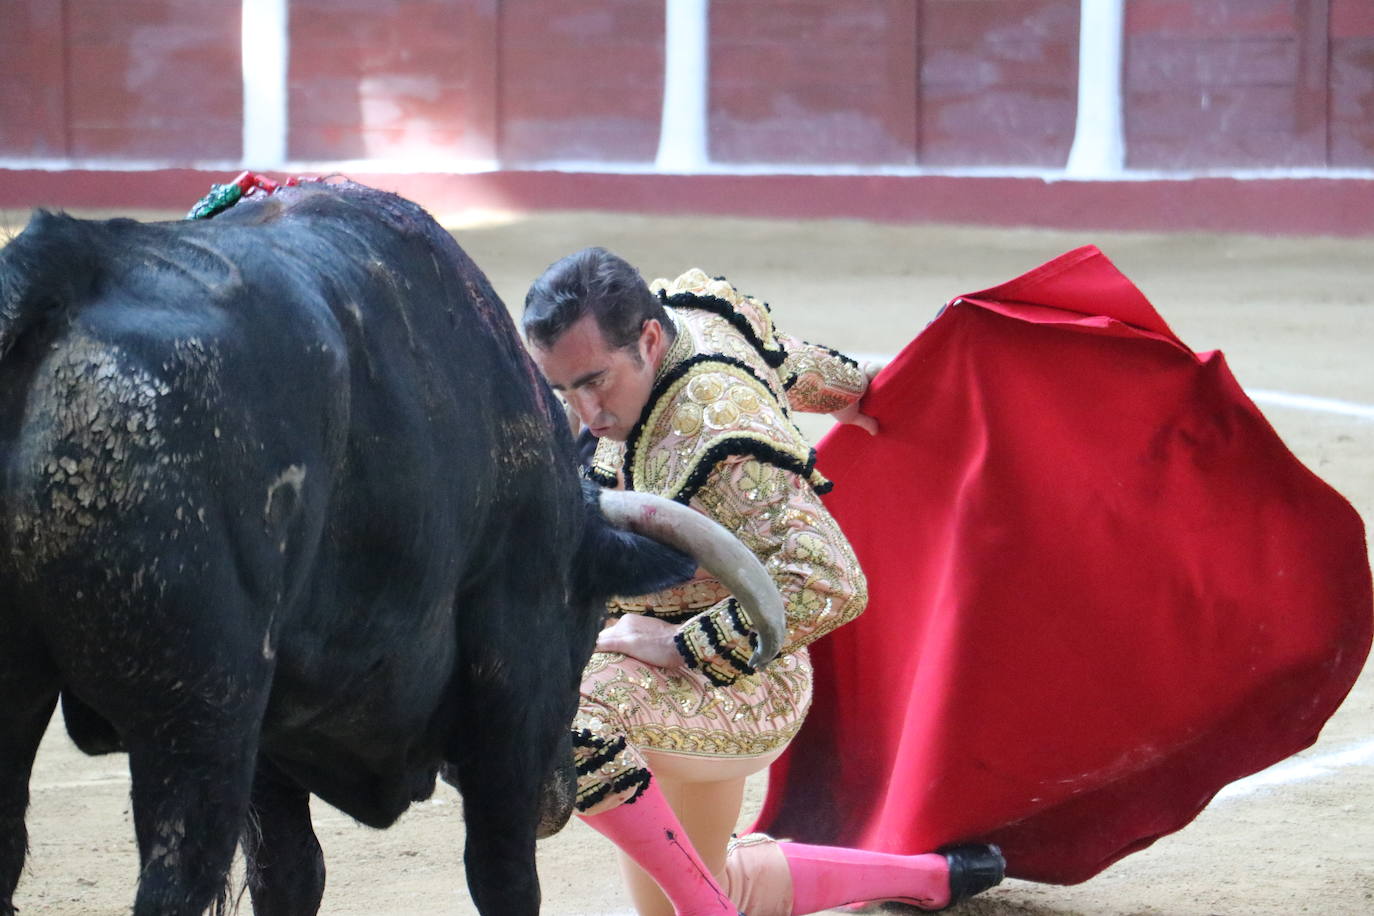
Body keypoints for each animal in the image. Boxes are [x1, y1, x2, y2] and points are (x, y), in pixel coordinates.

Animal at [0, 182, 708, 911]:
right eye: (590, 615)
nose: (557, 796)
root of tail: (64, 272)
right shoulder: (515, 666)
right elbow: (502, 869)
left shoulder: (274, 730)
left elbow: (289, 868)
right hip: (202, 714)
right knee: (177, 878)